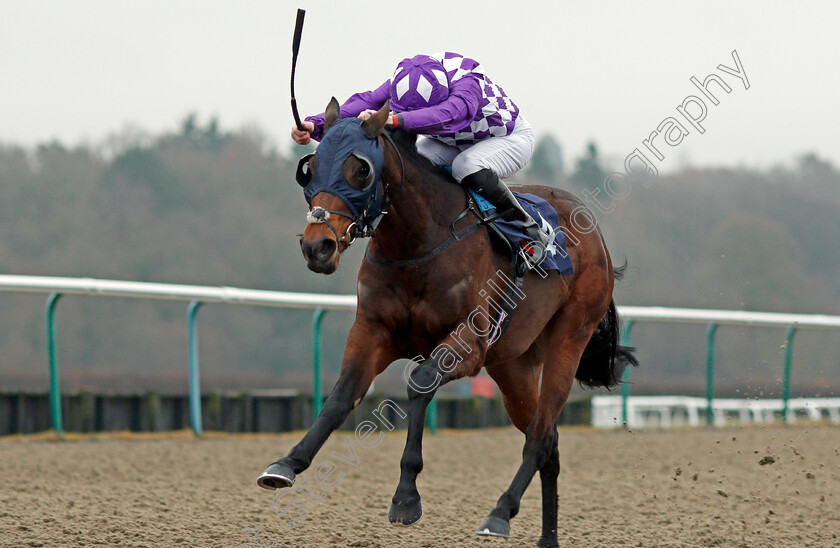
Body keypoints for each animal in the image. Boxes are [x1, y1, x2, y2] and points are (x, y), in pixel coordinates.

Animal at [258, 99, 636, 548]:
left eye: (360, 169)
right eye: (309, 168)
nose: (318, 247)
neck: (419, 243)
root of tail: (595, 236)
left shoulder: (469, 343)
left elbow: (420, 383)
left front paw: (406, 497)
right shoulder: (372, 330)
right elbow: (341, 396)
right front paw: (287, 463)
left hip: (569, 338)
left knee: (541, 436)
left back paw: (499, 513)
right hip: (513, 366)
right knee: (549, 442)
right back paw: (547, 539)